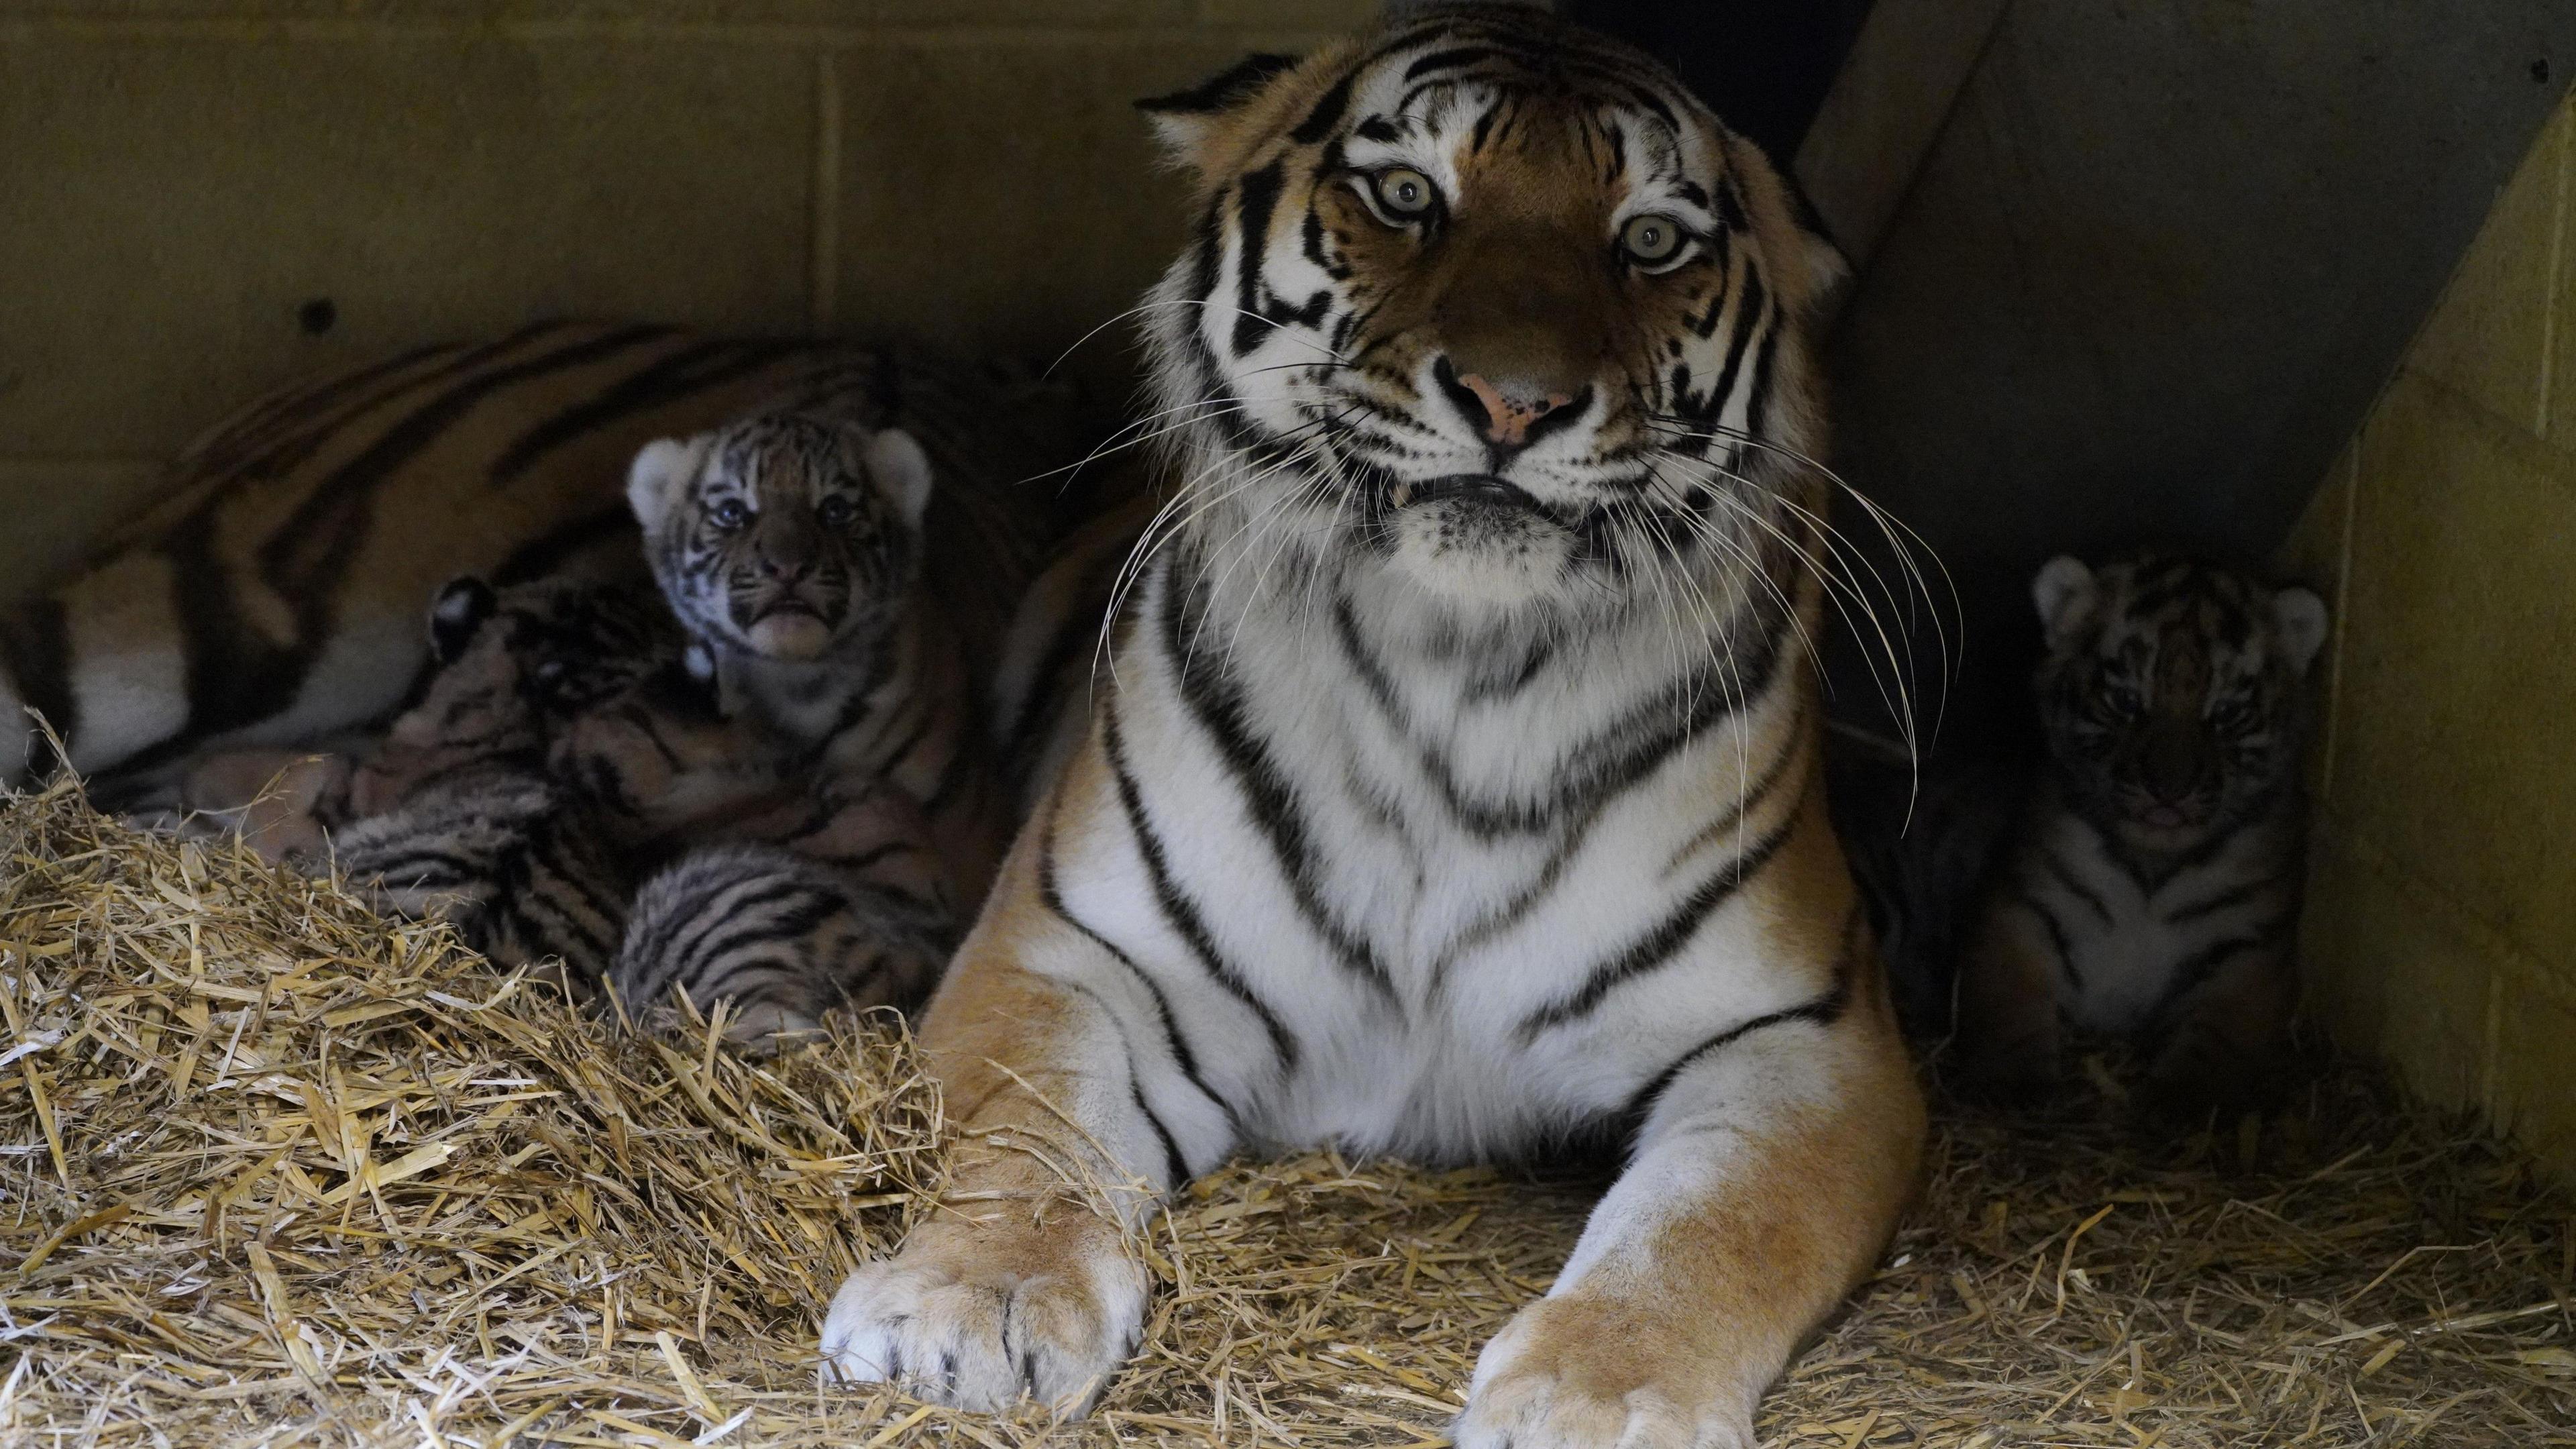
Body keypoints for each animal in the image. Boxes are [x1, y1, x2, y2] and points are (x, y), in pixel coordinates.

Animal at [814, 5, 1927, 1433]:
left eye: (1651, 240)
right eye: (1406, 195)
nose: (1517, 402)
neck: (1458, 669)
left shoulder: (1805, 1038)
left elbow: (1709, 1230)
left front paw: (1599, 1398)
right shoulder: (1066, 952)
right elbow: (1026, 1135)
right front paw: (973, 1305)